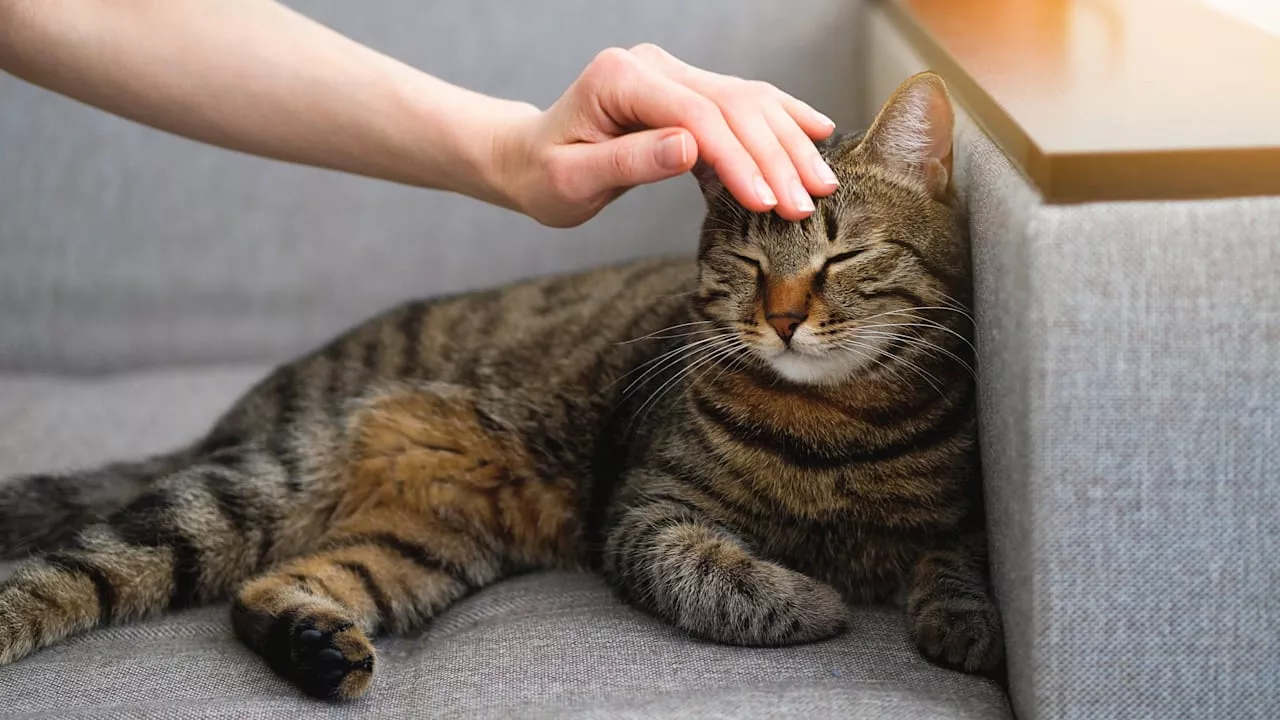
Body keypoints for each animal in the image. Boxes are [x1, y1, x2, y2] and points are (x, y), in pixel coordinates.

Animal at [0, 73, 998, 696]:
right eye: (749, 264)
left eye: (843, 258)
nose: (784, 319)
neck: (838, 427)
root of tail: (232, 421)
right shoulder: (645, 511)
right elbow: (712, 575)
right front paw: (813, 598)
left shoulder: (967, 515)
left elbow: (960, 561)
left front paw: (966, 624)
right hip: (258, 484)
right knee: (75, 569)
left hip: (423, 545)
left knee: (268, 588)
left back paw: (316, 647)